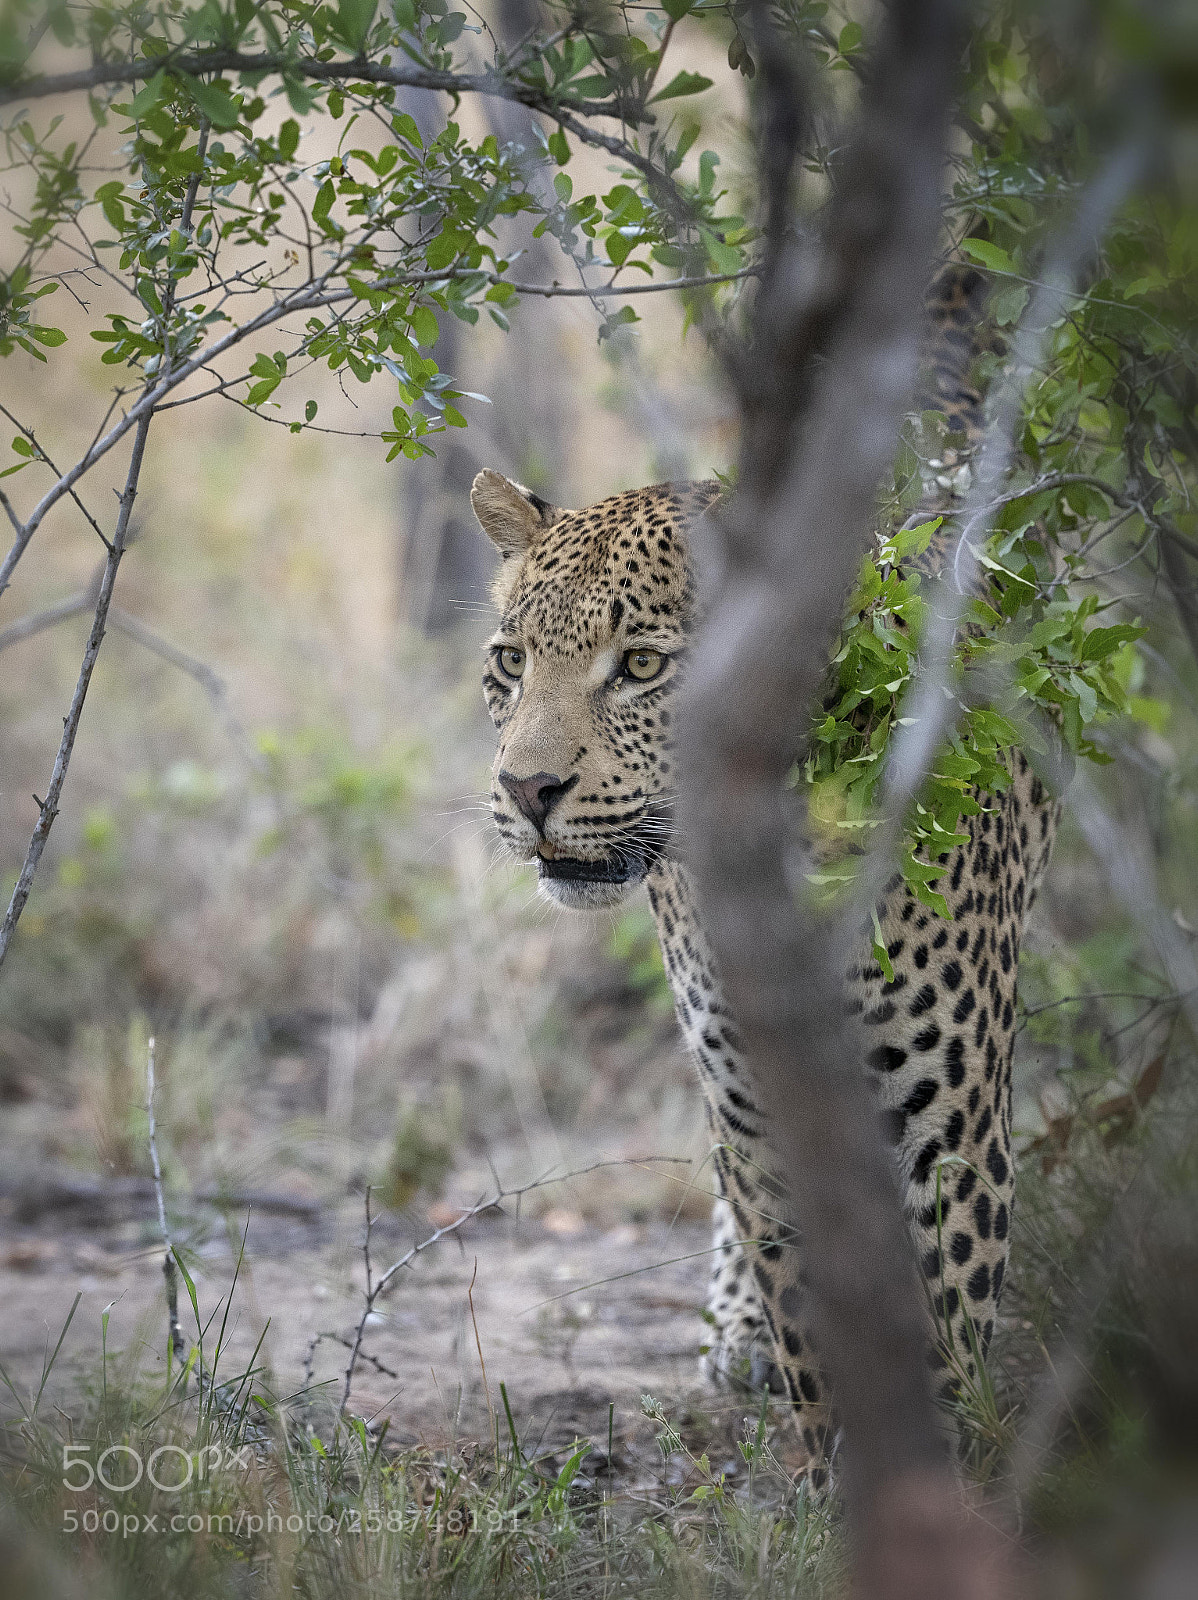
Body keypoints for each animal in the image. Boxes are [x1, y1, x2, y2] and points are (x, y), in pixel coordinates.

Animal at [469, 267, 1060, 1472]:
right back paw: (731, 1330)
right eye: (511, 661)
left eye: (642, 665)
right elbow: (815, 1324)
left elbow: (940, 1321)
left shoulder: (948, 1115)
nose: (526, 791)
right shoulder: (754, 1089)